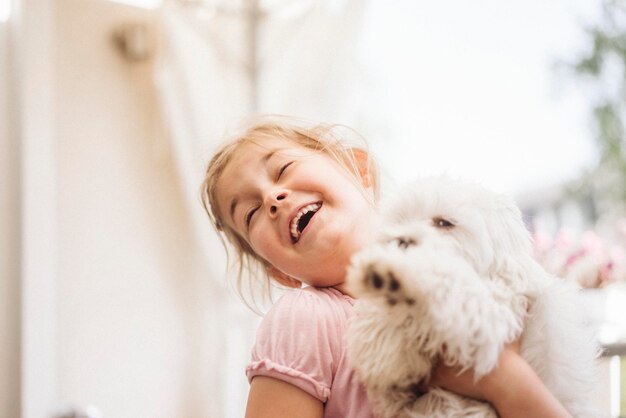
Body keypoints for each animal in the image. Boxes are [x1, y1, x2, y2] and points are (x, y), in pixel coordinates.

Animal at [346, 178, 600, 418]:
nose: (400, 241)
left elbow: (450, 280)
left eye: (444, 223)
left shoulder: (490, 322)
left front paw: (400, 270)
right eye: (398, 223)